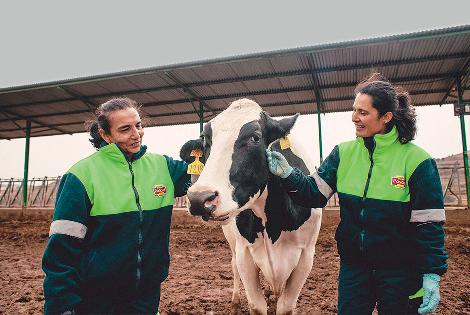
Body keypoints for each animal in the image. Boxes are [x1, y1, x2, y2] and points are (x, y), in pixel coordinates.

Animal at [180, 99, 324, 315]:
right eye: (205, 140)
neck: (274, 221)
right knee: (233, 265)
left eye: (255, 138)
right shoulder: (245, 253)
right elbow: (256, 305)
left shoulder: (306, 256)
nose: (199, 198)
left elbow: (286, 306)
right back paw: (236, 301)